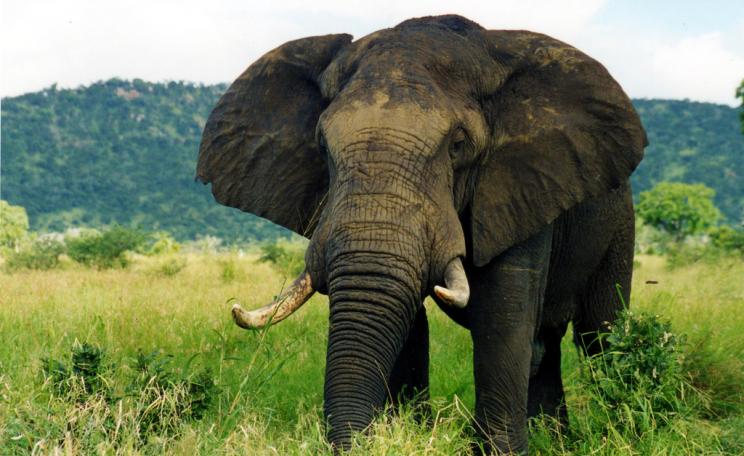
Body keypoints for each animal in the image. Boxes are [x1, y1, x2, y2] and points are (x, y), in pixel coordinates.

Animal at [196, 15, 646, 454]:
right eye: (322, 146)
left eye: (458, 145)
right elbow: (405, 319)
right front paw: (406, 433)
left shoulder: (520, 183)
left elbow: (503, 312)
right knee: (546, 347)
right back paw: (556, 441)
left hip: (619, 224)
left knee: (599, 333)